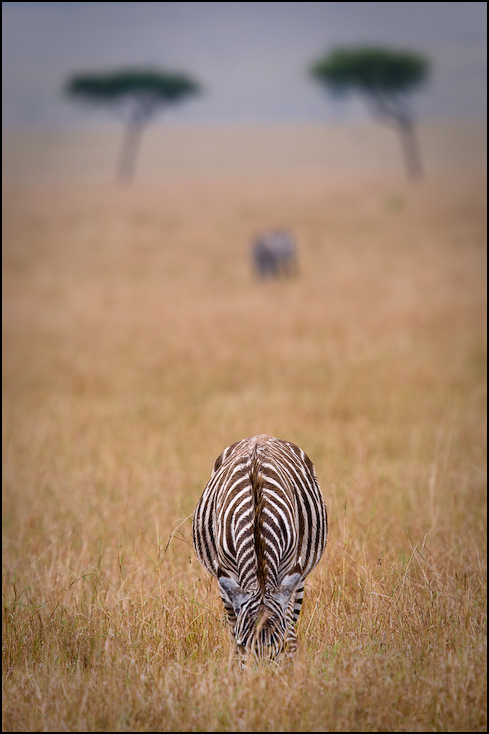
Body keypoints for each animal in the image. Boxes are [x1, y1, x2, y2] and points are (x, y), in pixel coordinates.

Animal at [193, 434, 326, 664]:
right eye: (243, 644)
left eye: (277, 646)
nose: (261, 675)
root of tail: (261, 436)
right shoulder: (227, 576)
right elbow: (234, 627)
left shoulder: (287, 571)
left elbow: (288, 631)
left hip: (298, 579)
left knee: (293, 622)